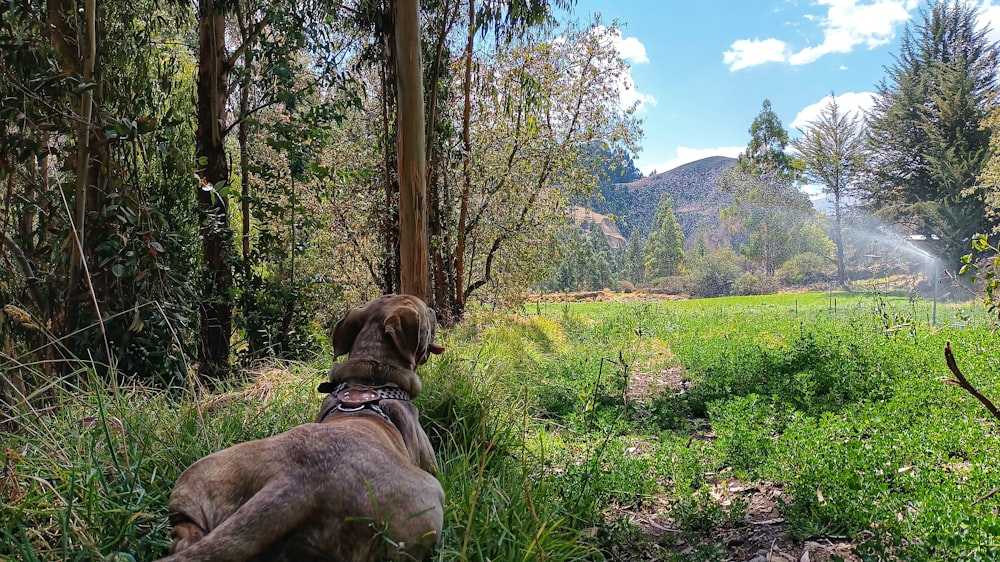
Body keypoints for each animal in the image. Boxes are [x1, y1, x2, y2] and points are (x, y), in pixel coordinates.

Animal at [159, 296, 446, 556]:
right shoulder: (430, 462)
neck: (370, 379)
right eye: (425, 312)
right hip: (429, 502)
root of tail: (295, 482)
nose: (436, 310)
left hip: (195, 486)